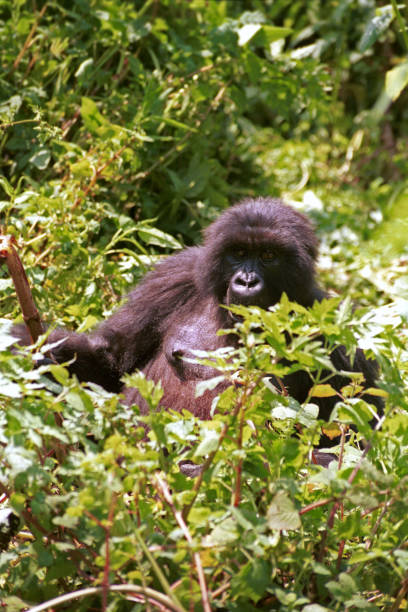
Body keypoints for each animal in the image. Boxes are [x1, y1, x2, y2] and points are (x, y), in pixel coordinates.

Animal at [13, 196, 382, 430]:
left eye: (268, 256)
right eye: (238, 253)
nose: (247, 281)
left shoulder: (336, 334)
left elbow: (351, 435)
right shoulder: (176, 277)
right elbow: (110, 359)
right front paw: (29, 349)